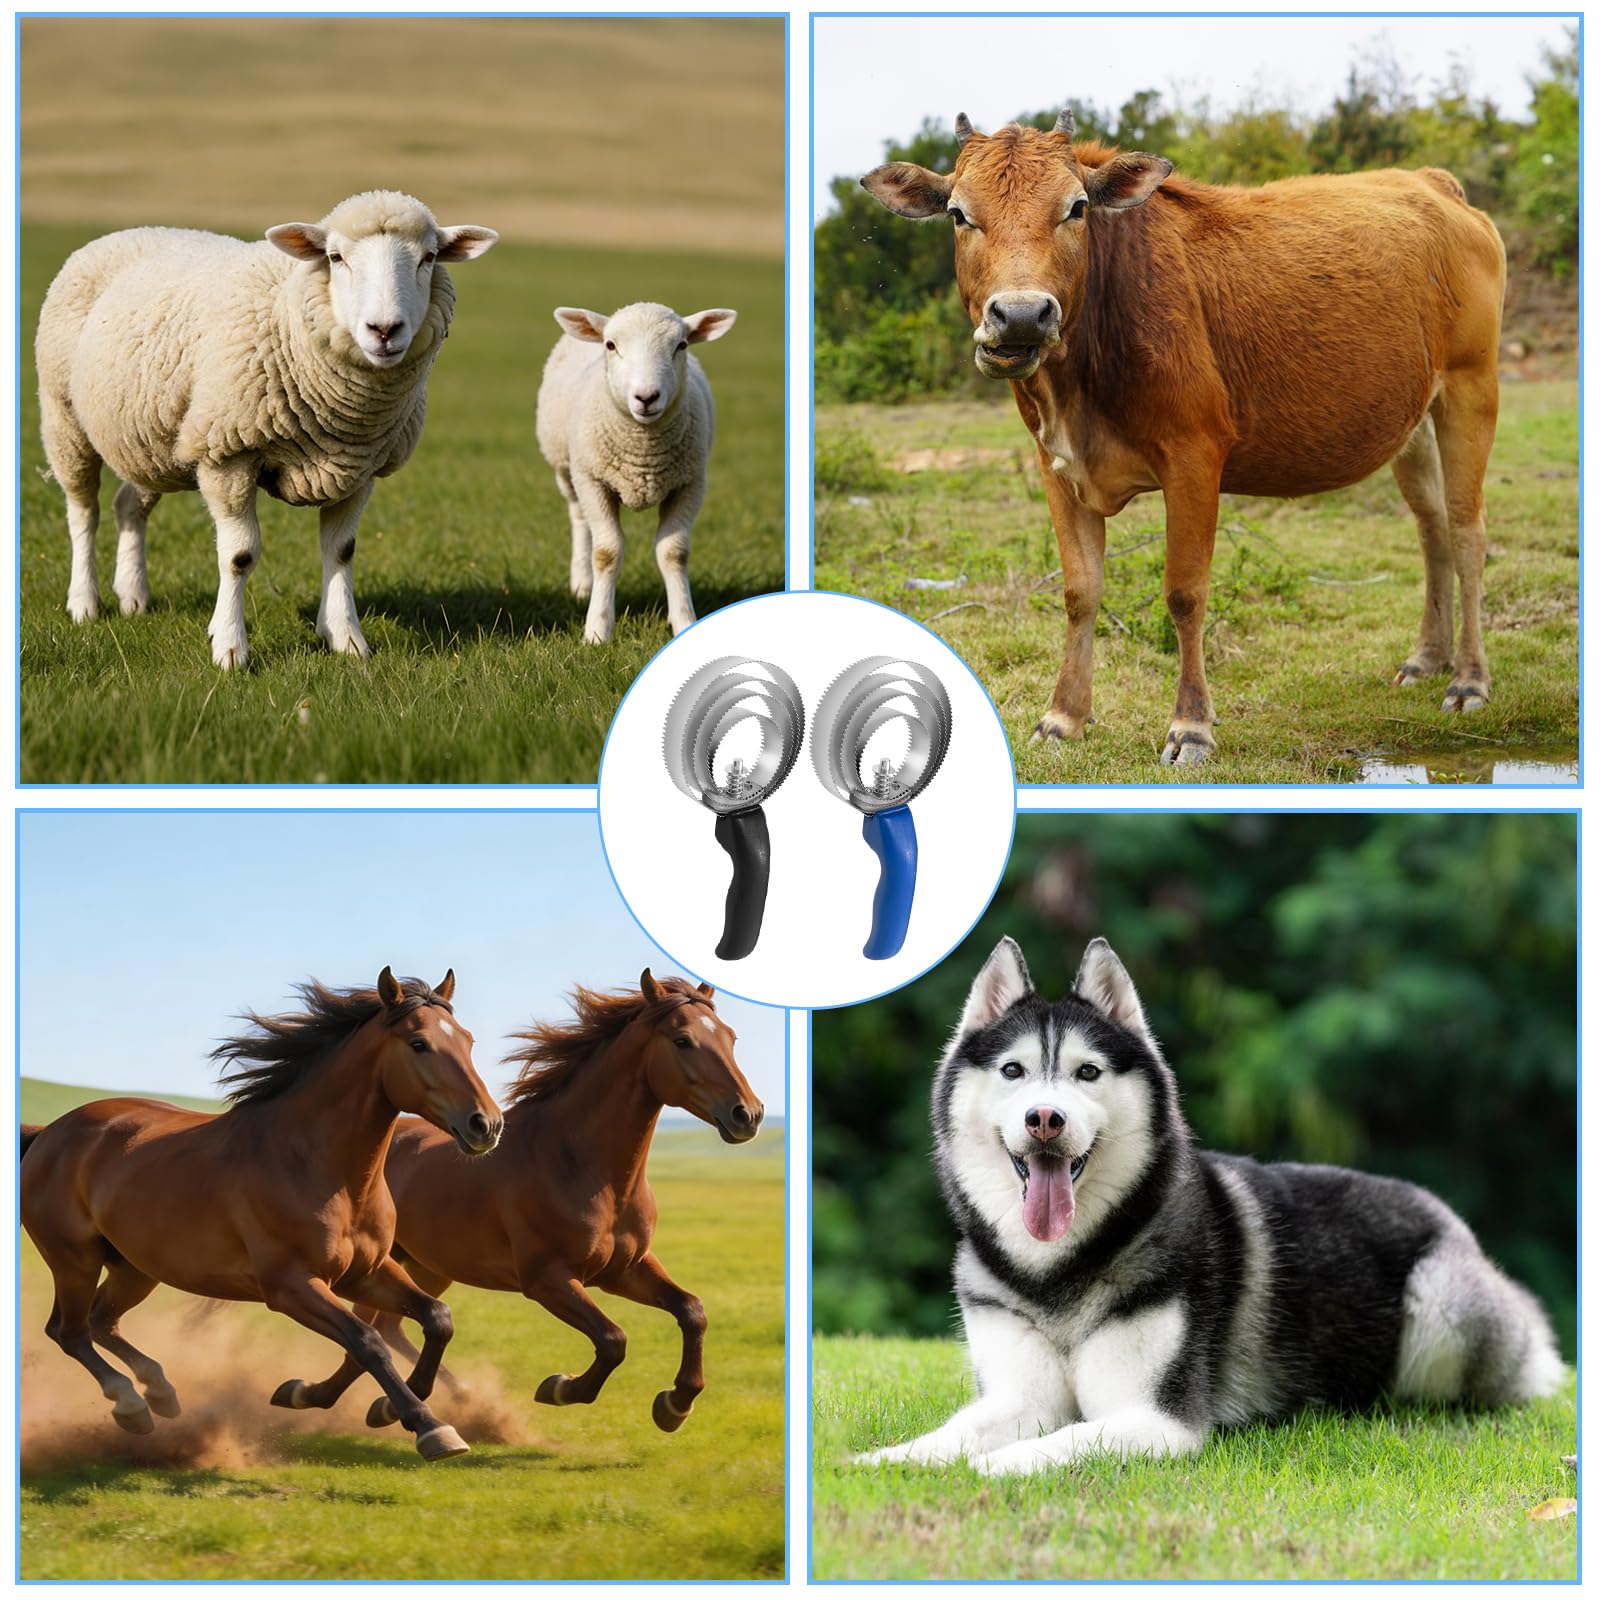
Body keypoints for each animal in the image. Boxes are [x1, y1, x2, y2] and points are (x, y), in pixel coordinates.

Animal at [19, 968, 503, 1461]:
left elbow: (436, 1318)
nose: (486, 1125)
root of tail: (48, 1133)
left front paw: (371, 1404)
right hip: (74, 1259)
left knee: (102, 1321)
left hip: (135, 1267)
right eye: (419, 1043)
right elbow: (367, 1341)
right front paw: (428, 1426)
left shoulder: (366, 1273)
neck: (320, 1170)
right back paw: (132, 1405)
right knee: (69, 1331)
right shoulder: (290, 1286)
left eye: (468, 1040)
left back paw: (160, 1392)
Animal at [288, 969, 763, 1433]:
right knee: (374, 1332)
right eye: (682, 1040)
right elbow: (613, 1340)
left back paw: (382, 1402)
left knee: (386, 1328)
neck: (585, 1168)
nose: (749, 1114)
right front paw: (561, 1388)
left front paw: (675, 1405)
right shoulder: (547, 1279)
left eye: (731, 1037)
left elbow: (692, 1311)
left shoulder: (625, 1269)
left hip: (421, 1266)